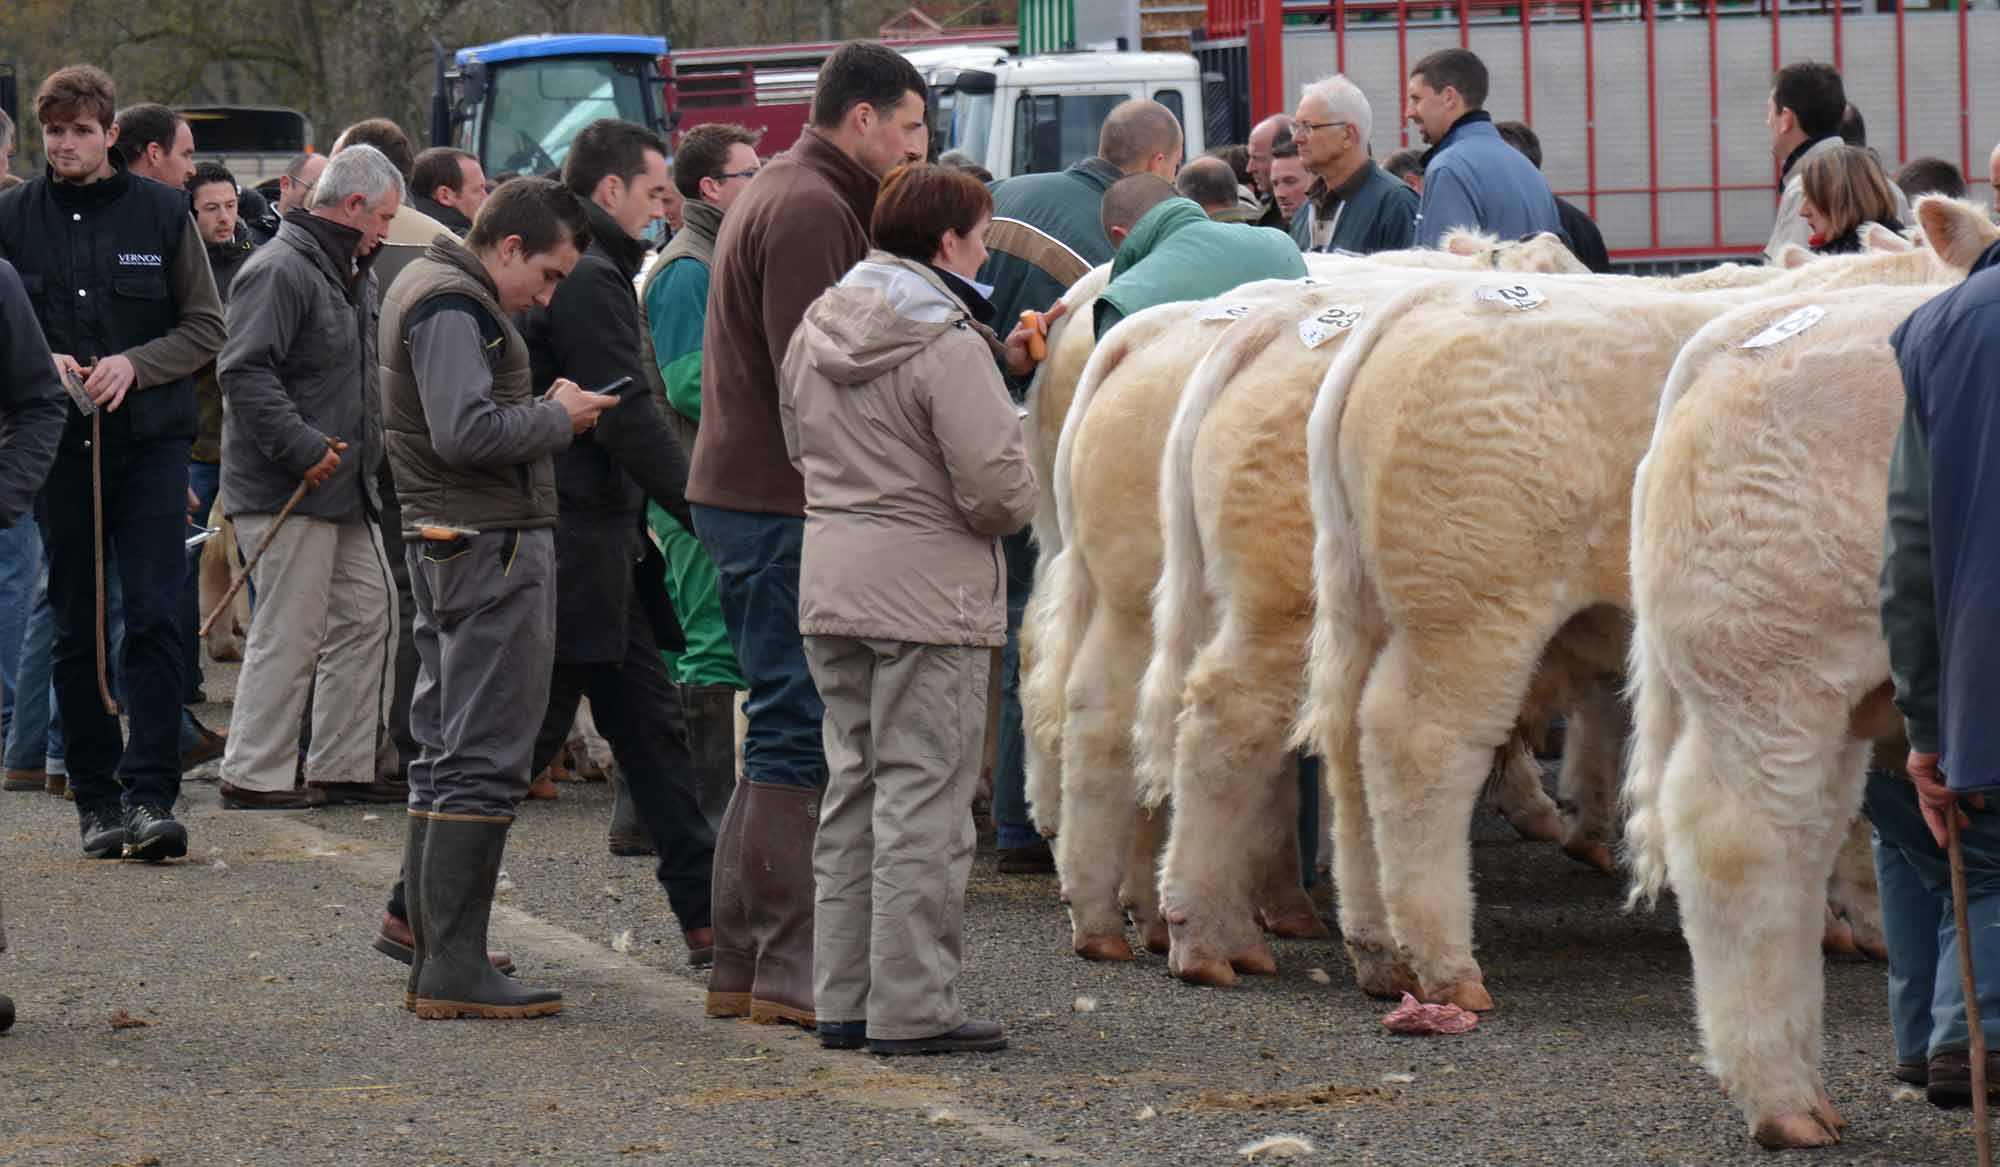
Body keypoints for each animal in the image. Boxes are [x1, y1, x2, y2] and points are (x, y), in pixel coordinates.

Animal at [1304, 234, 1976, 1011]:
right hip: (1467, 615)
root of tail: (1413, 310)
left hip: (1366, 602)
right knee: (1415, 741)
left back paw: (1380, 951)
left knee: (1347, 746)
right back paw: (1446, 964)